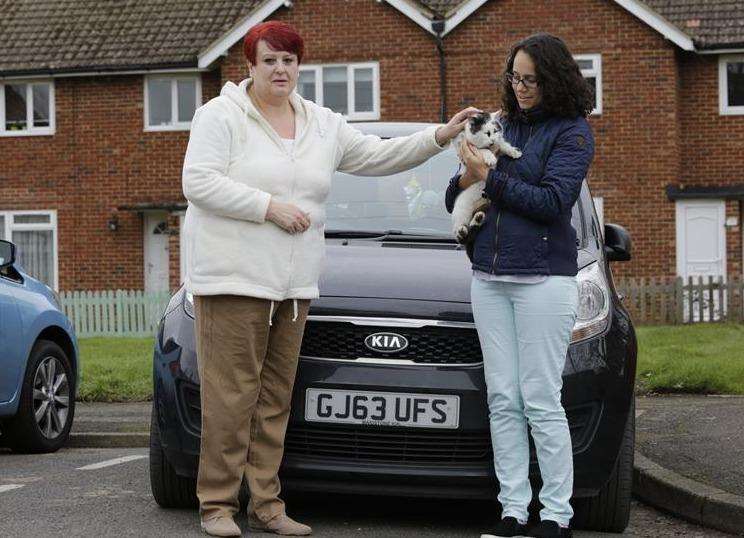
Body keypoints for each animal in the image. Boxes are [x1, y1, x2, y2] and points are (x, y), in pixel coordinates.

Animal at [450, 113, 520, 243]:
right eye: (487, 133)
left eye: (495, 131)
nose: (492, 140)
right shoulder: (471, 148)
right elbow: (483, 150)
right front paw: (490, 158)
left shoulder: (498, 145)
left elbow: (503, 144)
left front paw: (514, 152)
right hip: (461, 210)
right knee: (461, 233)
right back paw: (462, 231)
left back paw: (478, 219)